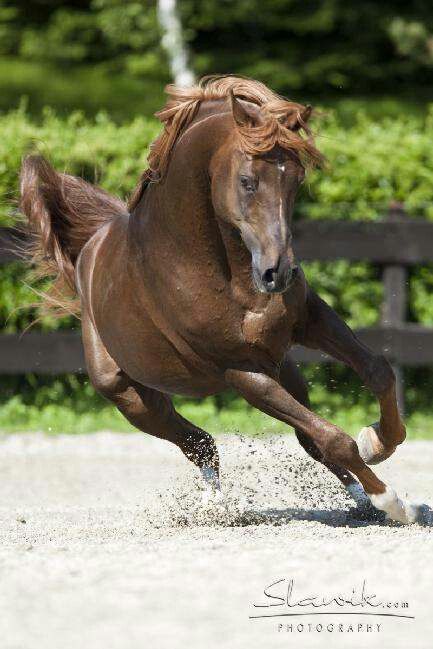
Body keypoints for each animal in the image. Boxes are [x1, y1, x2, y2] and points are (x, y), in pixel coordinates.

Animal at [21, 74, 422, 520]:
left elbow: (378, 372)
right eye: (248, 181)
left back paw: (357, 501)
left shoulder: (309, 320)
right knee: (202, 444)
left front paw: (378, 442)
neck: (220, 272)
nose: (277, 273)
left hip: (285, 371)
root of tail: (91, 248)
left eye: (297, 179)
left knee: (299, 440)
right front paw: (394, 502)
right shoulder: (242, 371)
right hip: (131, 396)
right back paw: (217, 504)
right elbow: (334, 436)